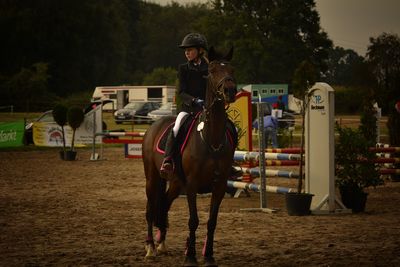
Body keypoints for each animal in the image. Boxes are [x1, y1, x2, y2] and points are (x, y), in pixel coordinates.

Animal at [141, 47, 238, 266]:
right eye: (211, 70)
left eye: (231, 69)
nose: (230, 91)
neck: (211, 140)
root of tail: (153, 126)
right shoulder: (192, 186)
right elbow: (193, 221)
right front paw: (191, 256)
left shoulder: (219, 187)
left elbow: (212, 222)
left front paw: (208, 256)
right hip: (153, 178)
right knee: (151, 209)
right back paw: (151, 247)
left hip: (176, 184)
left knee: (164, 205)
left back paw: (162, 243)